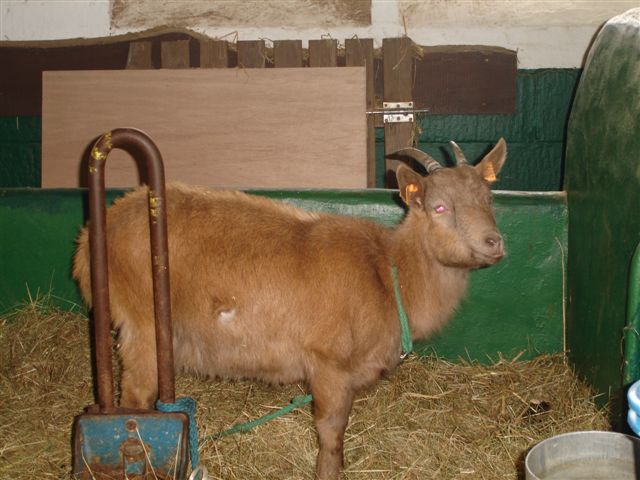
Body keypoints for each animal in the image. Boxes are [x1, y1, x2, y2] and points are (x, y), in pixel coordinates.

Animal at [73, 139, 506, 479]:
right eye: (438, 207)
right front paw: (329, 471)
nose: (493, 242)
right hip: (142, 323)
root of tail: (95, 233)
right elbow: (331, 433)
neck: (388, 271)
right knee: (136, 394)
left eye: (488, 198)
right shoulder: (329, 365)